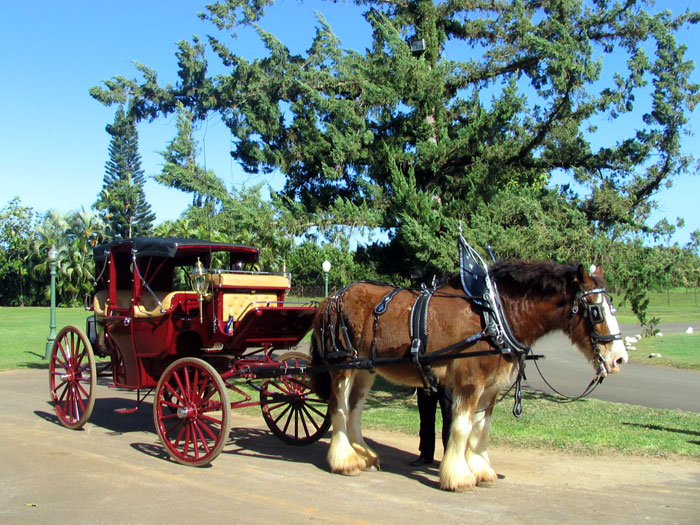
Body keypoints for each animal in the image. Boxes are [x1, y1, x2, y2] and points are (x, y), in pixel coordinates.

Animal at [312, 260, 628, 490]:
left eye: (613, 308)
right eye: (596, 311)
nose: (620, 359)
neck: (494, 317)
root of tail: (332, 297)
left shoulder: (491, 388)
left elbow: (481, 429)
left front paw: (481, 470)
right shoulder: (469, 383)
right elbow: (462, 428)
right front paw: (458, 477)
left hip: (365, 369)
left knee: (354, 410)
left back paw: (364, 456)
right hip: (342, 366)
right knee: (339, 408)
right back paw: (345, 461)